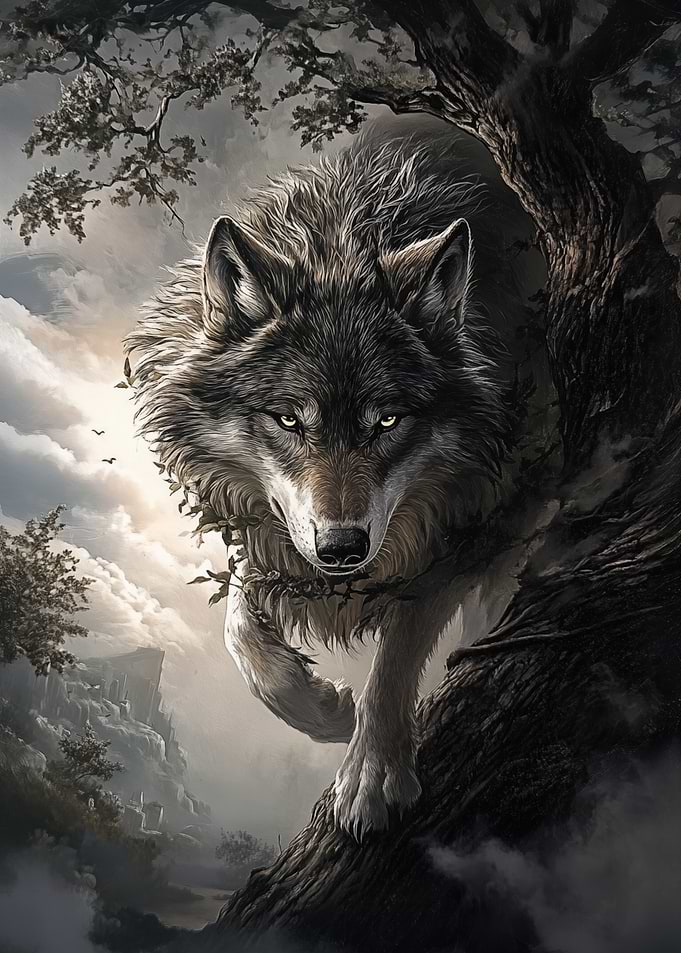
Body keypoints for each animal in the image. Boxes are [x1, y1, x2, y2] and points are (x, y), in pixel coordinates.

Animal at [125, 122, 539, 839]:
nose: (342, 548)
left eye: (388, 420)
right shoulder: (263, 525)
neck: (348, 231)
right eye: (289, 419)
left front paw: (372, 771)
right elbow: (241, 627)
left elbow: (397, 654)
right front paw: (321, 709)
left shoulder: (471, 522)